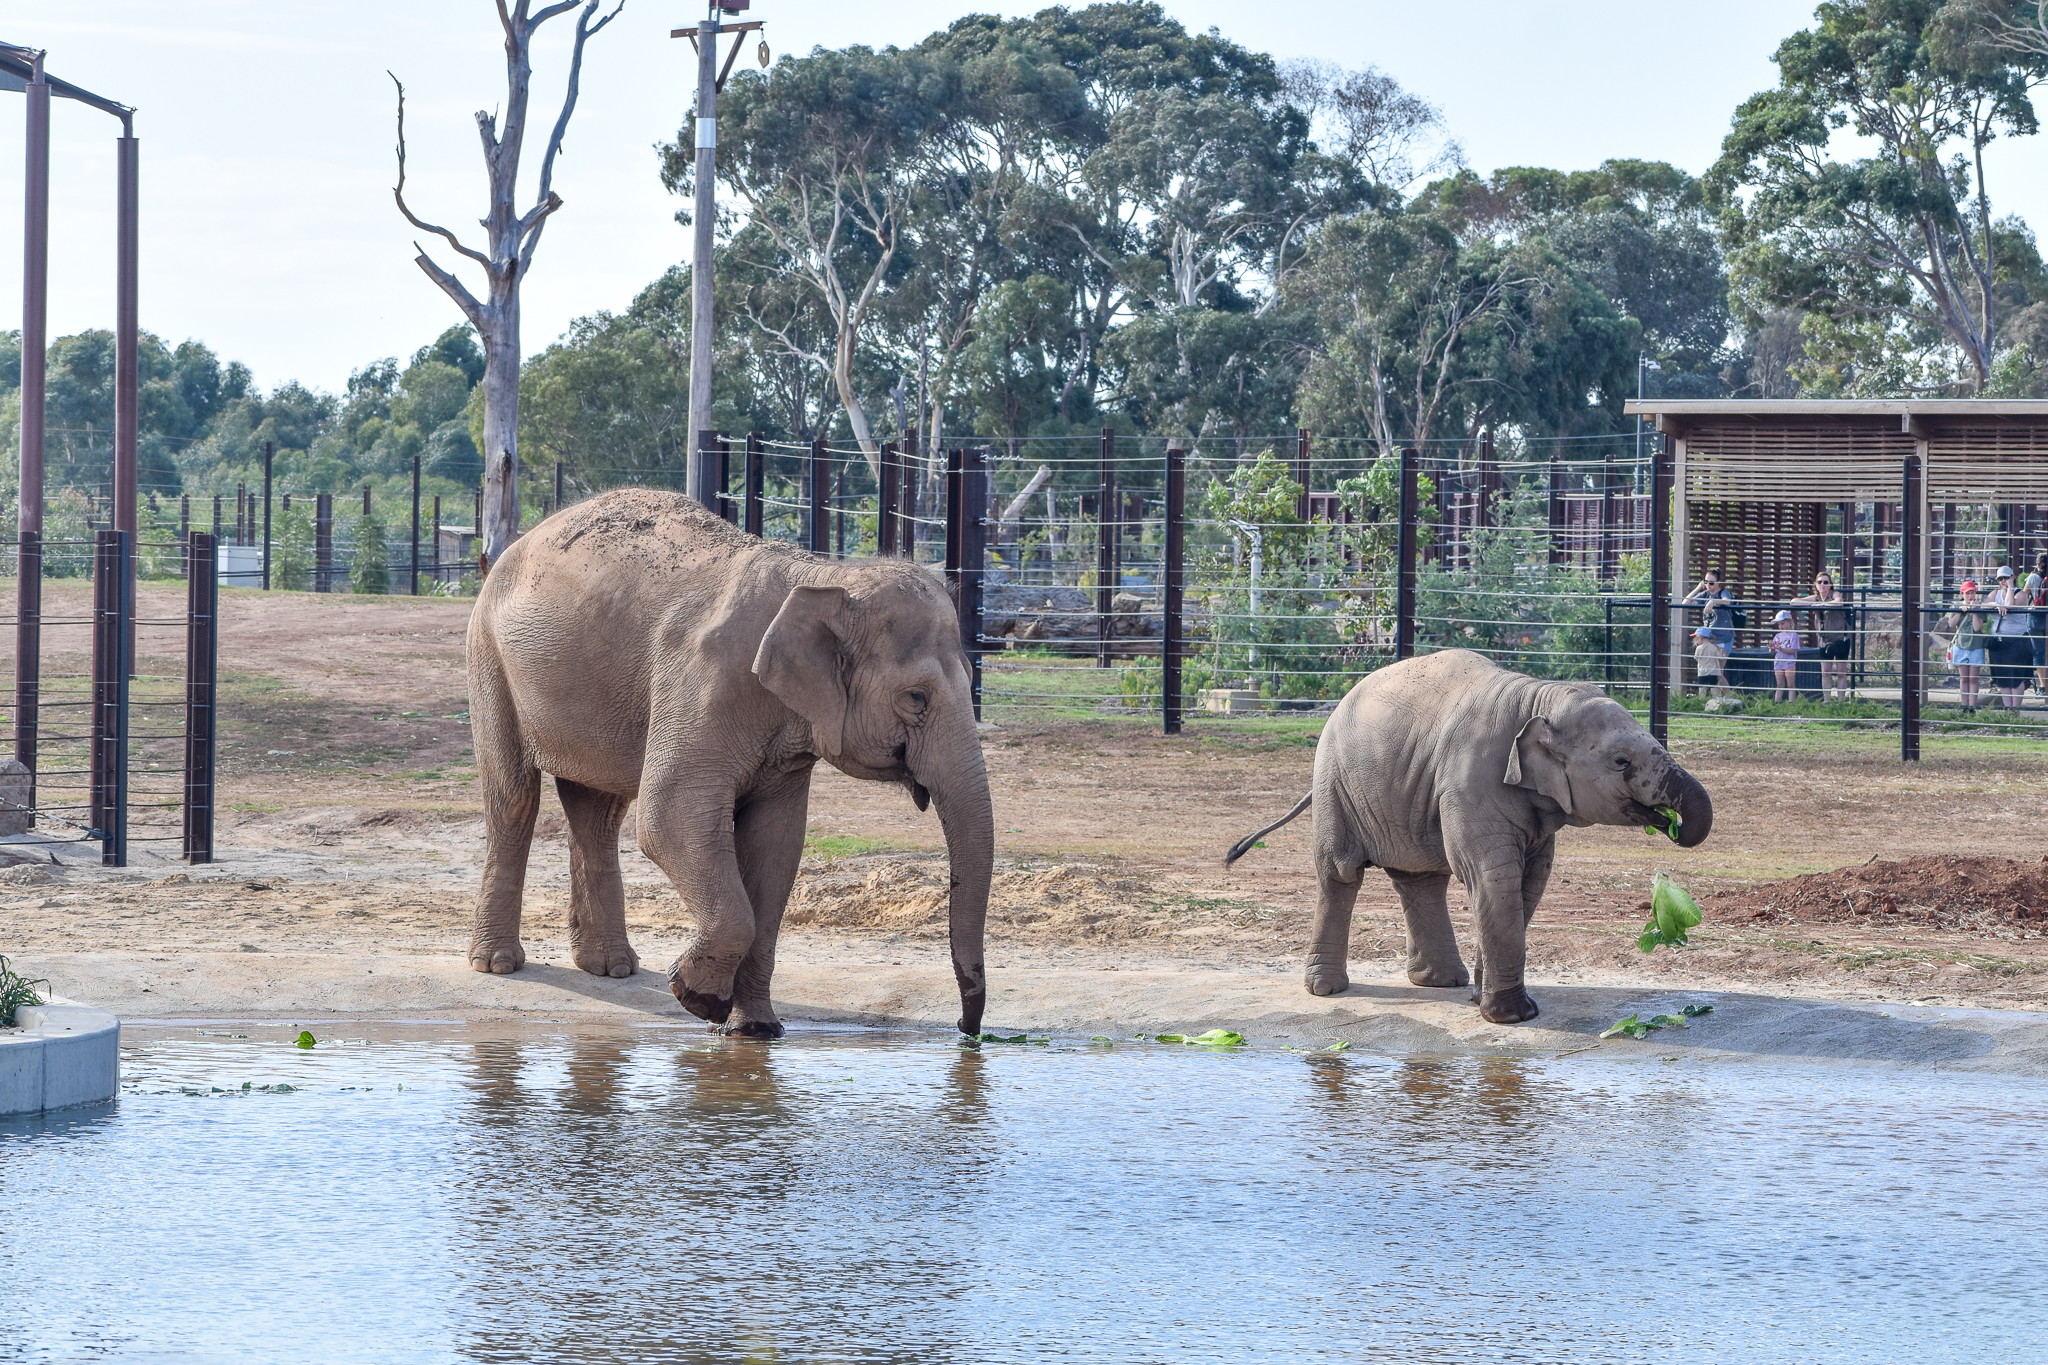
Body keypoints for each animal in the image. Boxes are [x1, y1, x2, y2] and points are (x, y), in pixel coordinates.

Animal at [464, 488, 992, 1039]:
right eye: (916, 698)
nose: (967, 1029)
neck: (821, 575)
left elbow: (776, 845)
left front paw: (754, 1030)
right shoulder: (701, 682)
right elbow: (671, 820)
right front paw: (696, 998)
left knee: (598, 810)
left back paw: (611, 967)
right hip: (489, 656)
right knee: (514, 797)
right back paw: (498, 964)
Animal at [1224, 651, 1712, 1023]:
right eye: (1620, 762)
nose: (1670, 825)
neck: (1540, 696)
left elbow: (1528, 884)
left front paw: (1483, 1000)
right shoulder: (1469, 782)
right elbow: (1492, 877)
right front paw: (1513, 1017)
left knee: (1421, 879)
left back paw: (1441, 982)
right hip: (1334, 784)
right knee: (1340, 873)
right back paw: (1327, 991)